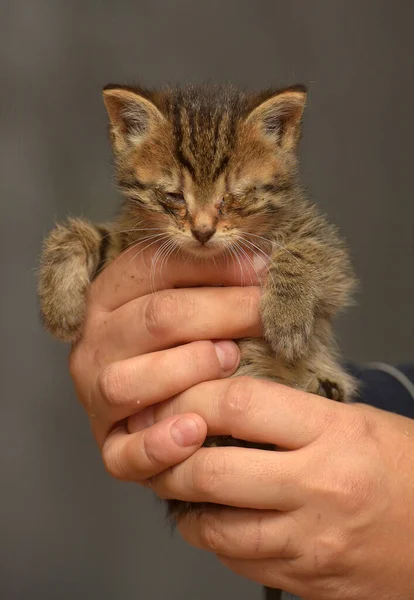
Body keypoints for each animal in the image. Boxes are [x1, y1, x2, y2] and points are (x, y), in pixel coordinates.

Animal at [37, 82, 358, 516]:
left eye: (233, 197)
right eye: (174, 196)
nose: (203, 231)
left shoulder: (328, 252)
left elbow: (307, 253)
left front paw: (287, 319)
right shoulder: (127, 245)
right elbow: (81, 233)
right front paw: (59, 304)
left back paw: (322, 388)